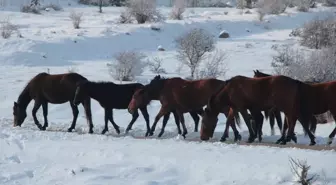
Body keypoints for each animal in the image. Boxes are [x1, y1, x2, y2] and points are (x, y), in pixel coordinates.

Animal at [127, 75, 256, 140]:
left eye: (134, 96)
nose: (129, 109)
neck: (162, 89)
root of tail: (225, 84)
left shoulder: (166, 107)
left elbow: (157, 118)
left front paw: (151, 131)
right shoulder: (177, 109)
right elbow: (180, 120)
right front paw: (183, 133)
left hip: (222, 107)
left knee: (231, 120)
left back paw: (235, 135)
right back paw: (236, 135)